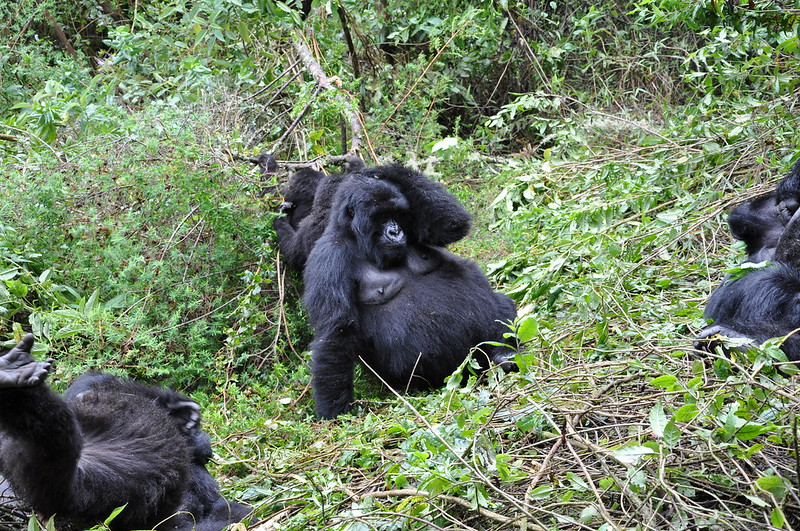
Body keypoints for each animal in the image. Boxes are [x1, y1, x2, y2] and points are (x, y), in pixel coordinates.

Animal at [302, 175, 520, 420]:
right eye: (381, 216)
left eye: (396, 215)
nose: (396, 232)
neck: (355, 238)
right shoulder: (328, 258)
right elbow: (337, 330)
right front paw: (335, 411)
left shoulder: (417, 225)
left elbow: (451, 224)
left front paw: (373, 172)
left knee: (498, 304)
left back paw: (503, 353)